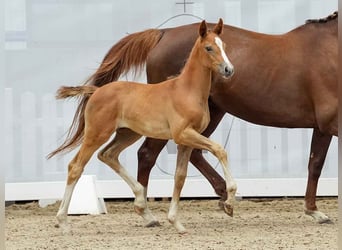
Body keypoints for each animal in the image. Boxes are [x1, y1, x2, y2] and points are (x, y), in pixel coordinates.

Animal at [48, 20, 235, 234]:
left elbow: (180, 177)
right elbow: (220, 150)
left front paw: (176, 222)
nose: (229, 69)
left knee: (108, 155)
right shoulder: (183, 134)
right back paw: (63, 223)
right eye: (209, 47)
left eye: (224, 46)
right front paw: (230, 202)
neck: (187, 91)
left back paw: (144, 207)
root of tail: (97, 91)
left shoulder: (186, 141)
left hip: (127, 134)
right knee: (76, 166)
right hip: (97, 133)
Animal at [73, 11, 338, 223]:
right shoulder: (330, 123)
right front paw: (314, 211)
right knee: (147, 154)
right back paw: (146, 210)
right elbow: (317, 164)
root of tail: (163, 33)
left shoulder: (323, 127)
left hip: (209, 115)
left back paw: (223, 196)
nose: (229, 69)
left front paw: (313, 210)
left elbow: (315, 163)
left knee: (195, 152)